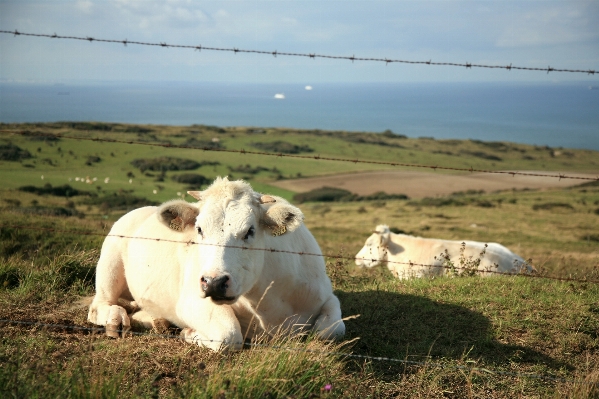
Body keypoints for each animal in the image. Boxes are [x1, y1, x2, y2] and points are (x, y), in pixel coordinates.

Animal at [86, 177, 344, 350]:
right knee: (99, 305)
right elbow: (228, 335)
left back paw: (153, 320)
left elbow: (331, 330)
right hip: (110, 263)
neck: (266, 305)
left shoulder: (326, 295)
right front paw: (189, 333)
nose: (214, 282)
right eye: (199, 229)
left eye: (249, 231)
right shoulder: (190, 300)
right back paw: (117, 319)